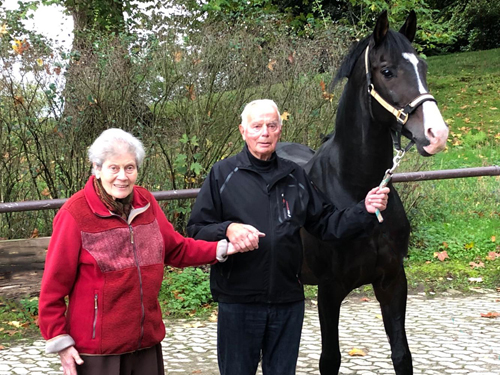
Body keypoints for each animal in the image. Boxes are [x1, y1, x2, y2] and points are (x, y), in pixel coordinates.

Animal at [278, 10, 450, 374]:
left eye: (423, 66)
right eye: (387, 71)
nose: (436, 134)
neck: (353, 189)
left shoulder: (392, 281)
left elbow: (401, 354)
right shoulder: (330, 290)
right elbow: (330, 359)